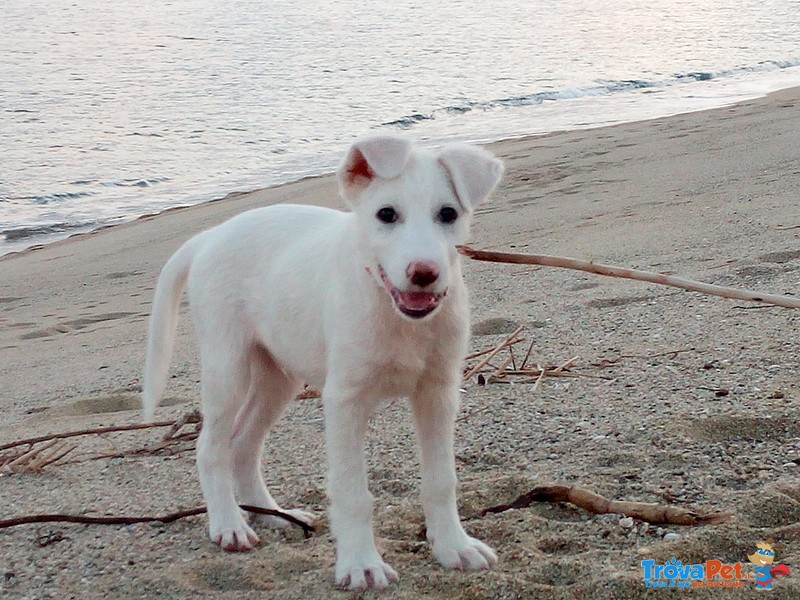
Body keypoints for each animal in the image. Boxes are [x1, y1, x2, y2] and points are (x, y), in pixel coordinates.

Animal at [141, 136, 504, 592]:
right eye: (386, 215)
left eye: (448, 214)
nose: (424, 273)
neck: (392, 313)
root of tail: (210, 235)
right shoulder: (345, 401)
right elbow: (352, 492)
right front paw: (361, 564)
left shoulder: (437, 393)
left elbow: (441, 480)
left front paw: (455, 546)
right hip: (228, 367)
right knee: (211, 448)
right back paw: (229, 525)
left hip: (278, 377)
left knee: (243, 444)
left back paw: (274, 515)